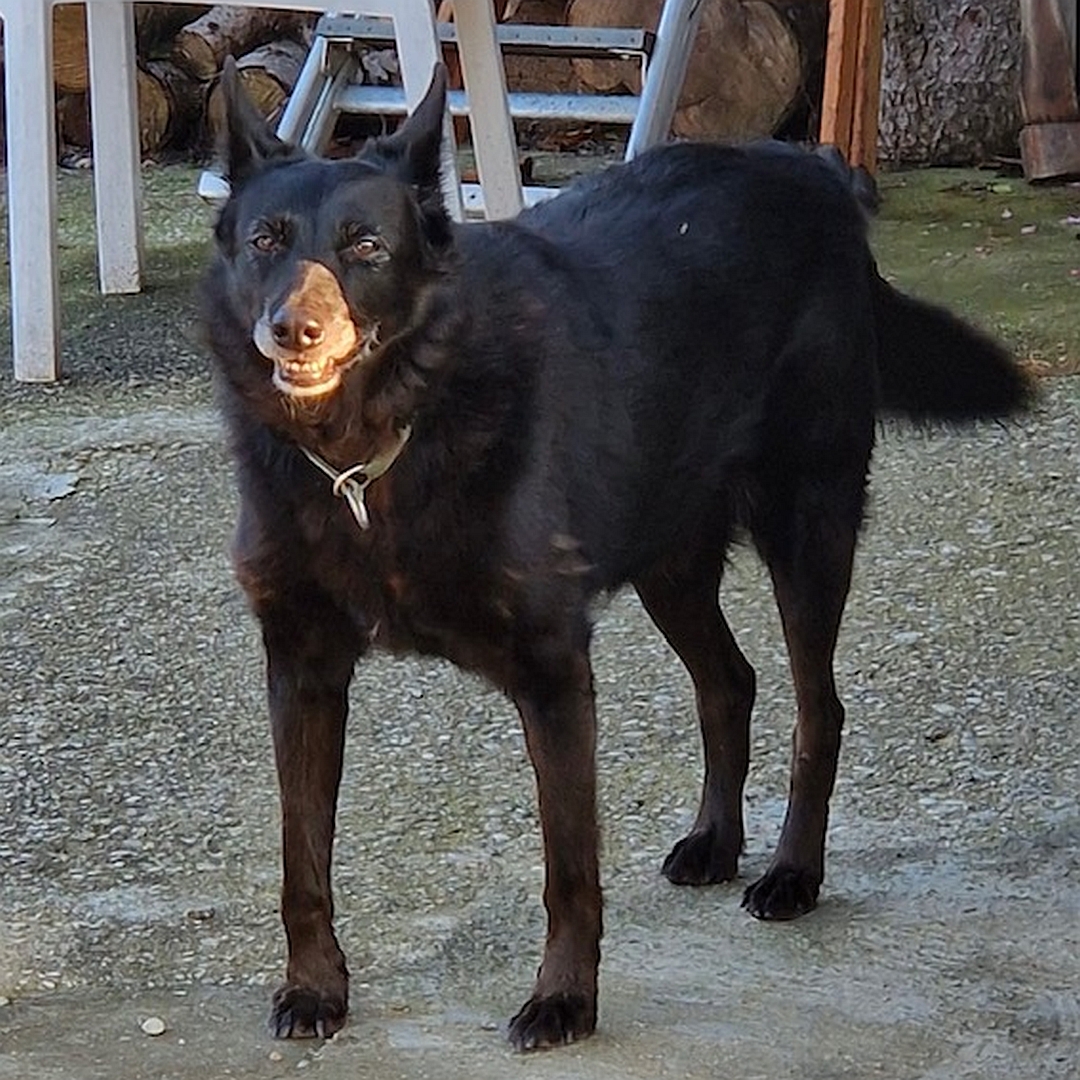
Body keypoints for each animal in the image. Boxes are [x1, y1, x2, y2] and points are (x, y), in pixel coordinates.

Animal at [203, 63, 1028, 1049]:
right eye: (266, 240)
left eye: (366, 246)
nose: (293, 330)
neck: (377, 451)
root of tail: (820, 174)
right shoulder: (304, 668)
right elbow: (302, 861)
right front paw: (317, 986)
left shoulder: (553, 672)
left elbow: (569, 873)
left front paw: (565, 1000)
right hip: (668, 559)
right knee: (730, 683)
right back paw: (717, 842)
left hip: (808, 529)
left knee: (817, 708)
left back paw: (792, 873)